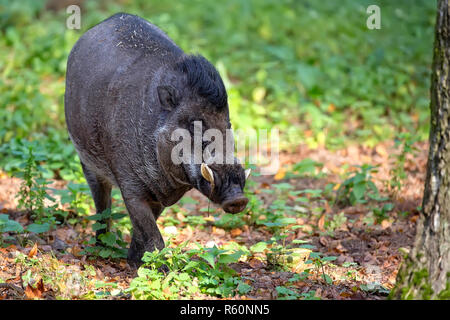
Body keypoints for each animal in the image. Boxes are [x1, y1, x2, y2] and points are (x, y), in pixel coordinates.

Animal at [65, 13, 251, 268]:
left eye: (229, 124)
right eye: (193, 123)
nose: (238, 199)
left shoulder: (160, 197)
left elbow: (145, 227)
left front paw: (135, 262)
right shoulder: (130, 186)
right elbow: (152, 233)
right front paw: (156, 269)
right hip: (86, 162)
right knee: (102, 204)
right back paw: (100, 244)